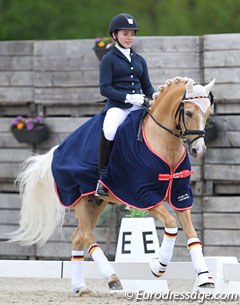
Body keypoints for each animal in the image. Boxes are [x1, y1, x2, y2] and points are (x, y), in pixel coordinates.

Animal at [9, 76, 216, 294]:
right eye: (188, 112)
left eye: (208, 113)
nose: (198, 150)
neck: (163, 145)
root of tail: (58, 149)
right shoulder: (143, 195)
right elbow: (171, 224)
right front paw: (157, 266)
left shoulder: (180, 195)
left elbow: (193, 235)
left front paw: (205, 278)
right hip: (79, 199)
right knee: (87, 236)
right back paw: (112, 278)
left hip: (96, 202)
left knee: (78, 237)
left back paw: (80, 287)